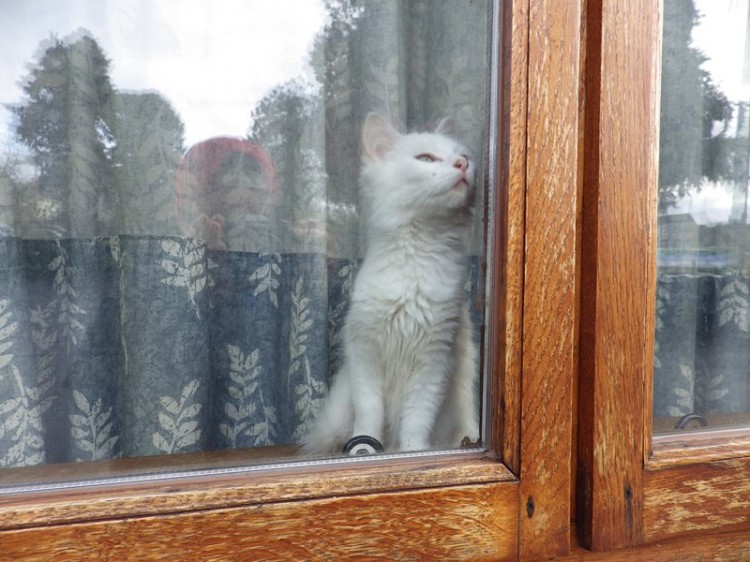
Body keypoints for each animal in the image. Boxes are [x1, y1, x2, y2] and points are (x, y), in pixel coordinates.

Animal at [304, 111, 482, 452]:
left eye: (464, 156)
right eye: (425, 158)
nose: (463, 165)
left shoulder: (435, 361)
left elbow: (416, 421)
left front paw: (413, 452)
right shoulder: (365, 356)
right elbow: (369, 417)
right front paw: (364, 451)